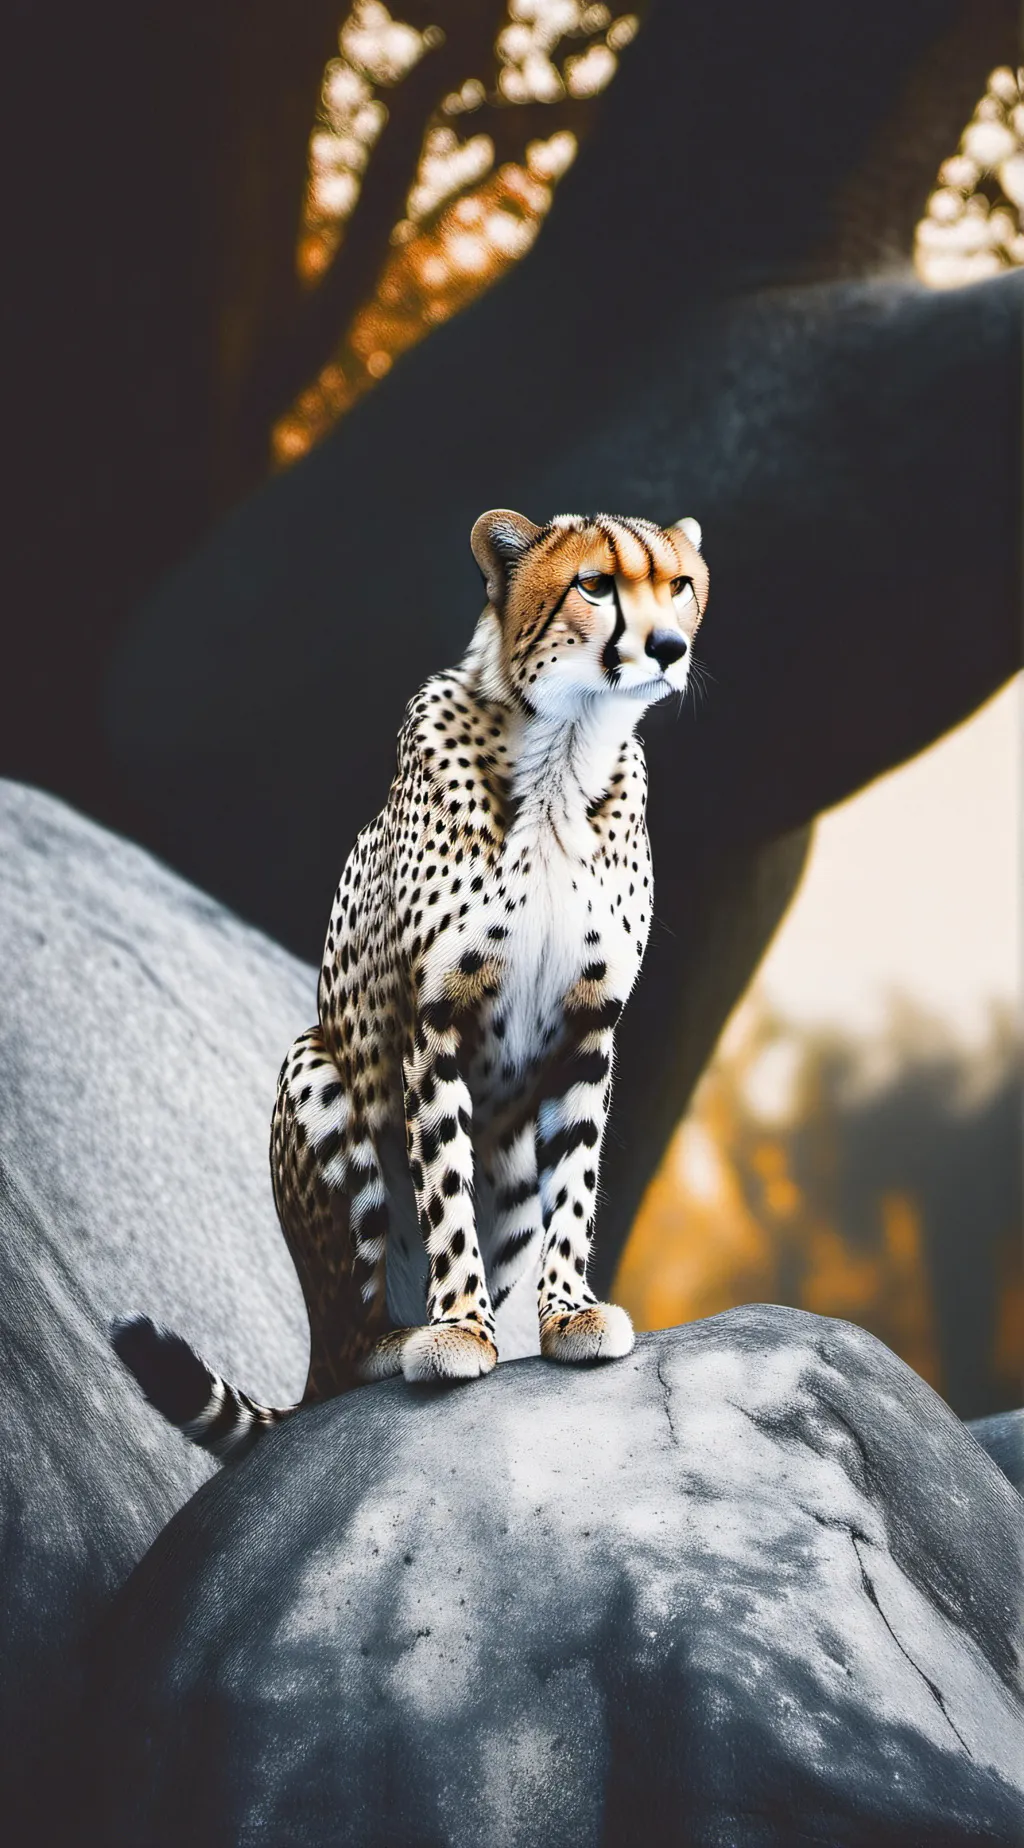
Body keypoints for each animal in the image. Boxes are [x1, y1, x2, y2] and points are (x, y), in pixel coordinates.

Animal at [114, 508, 708, 1459]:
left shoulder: (589, 1027)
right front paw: (460, 1327)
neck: (566, 752)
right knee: (350, 1348)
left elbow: (575, 1184)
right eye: (594, 584)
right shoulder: (436, 1023)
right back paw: (403, 1339)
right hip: (313, 1070)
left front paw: (568, 1313)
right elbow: (444, 1190)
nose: (667, 645)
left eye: (680, 583)